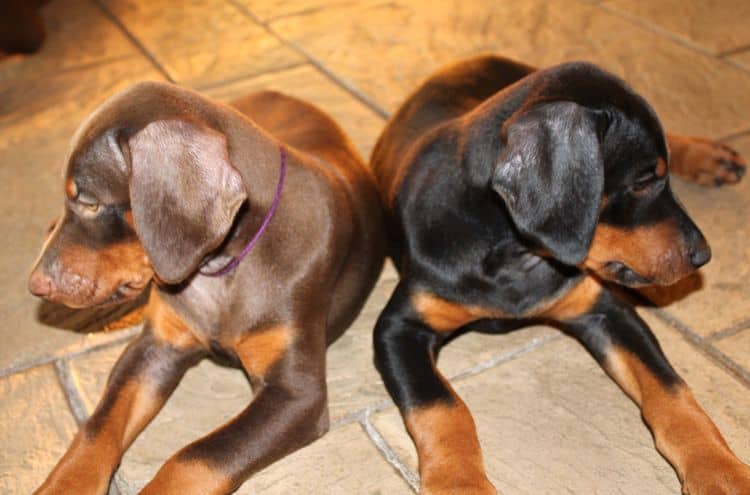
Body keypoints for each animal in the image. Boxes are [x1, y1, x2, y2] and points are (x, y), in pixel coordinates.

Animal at [27, 82, 388, 495]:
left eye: (89, 202)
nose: (36, 284)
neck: (219, 269)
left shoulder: (295, 394)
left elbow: (197, 456)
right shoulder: (155, 347)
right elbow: (98, 424)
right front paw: (62, 484)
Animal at [370, 55, 750, 495]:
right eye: (642, 181)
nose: (702, 255)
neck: (517, 252)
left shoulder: (604, 310)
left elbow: (671, 390)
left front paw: (720, 471)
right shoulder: (399, 328)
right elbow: (443, 407)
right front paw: (460, 485)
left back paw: (710, 157)